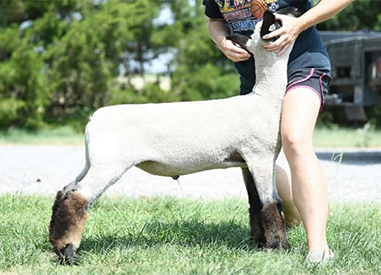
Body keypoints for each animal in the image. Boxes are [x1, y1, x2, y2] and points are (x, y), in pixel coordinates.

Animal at [48, 8, 296, 264]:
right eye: (277, 22)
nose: (295, 10)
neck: (265, 99)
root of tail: (93, 119)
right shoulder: (260, 155)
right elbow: (270, 203)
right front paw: (279, 248)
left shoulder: (247, 161)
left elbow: (257, 204)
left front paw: (259, 245)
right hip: (109, 163)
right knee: (78, 197)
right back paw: (69, 252)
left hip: (93, 161)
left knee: (66, 191)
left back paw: (56, 245)